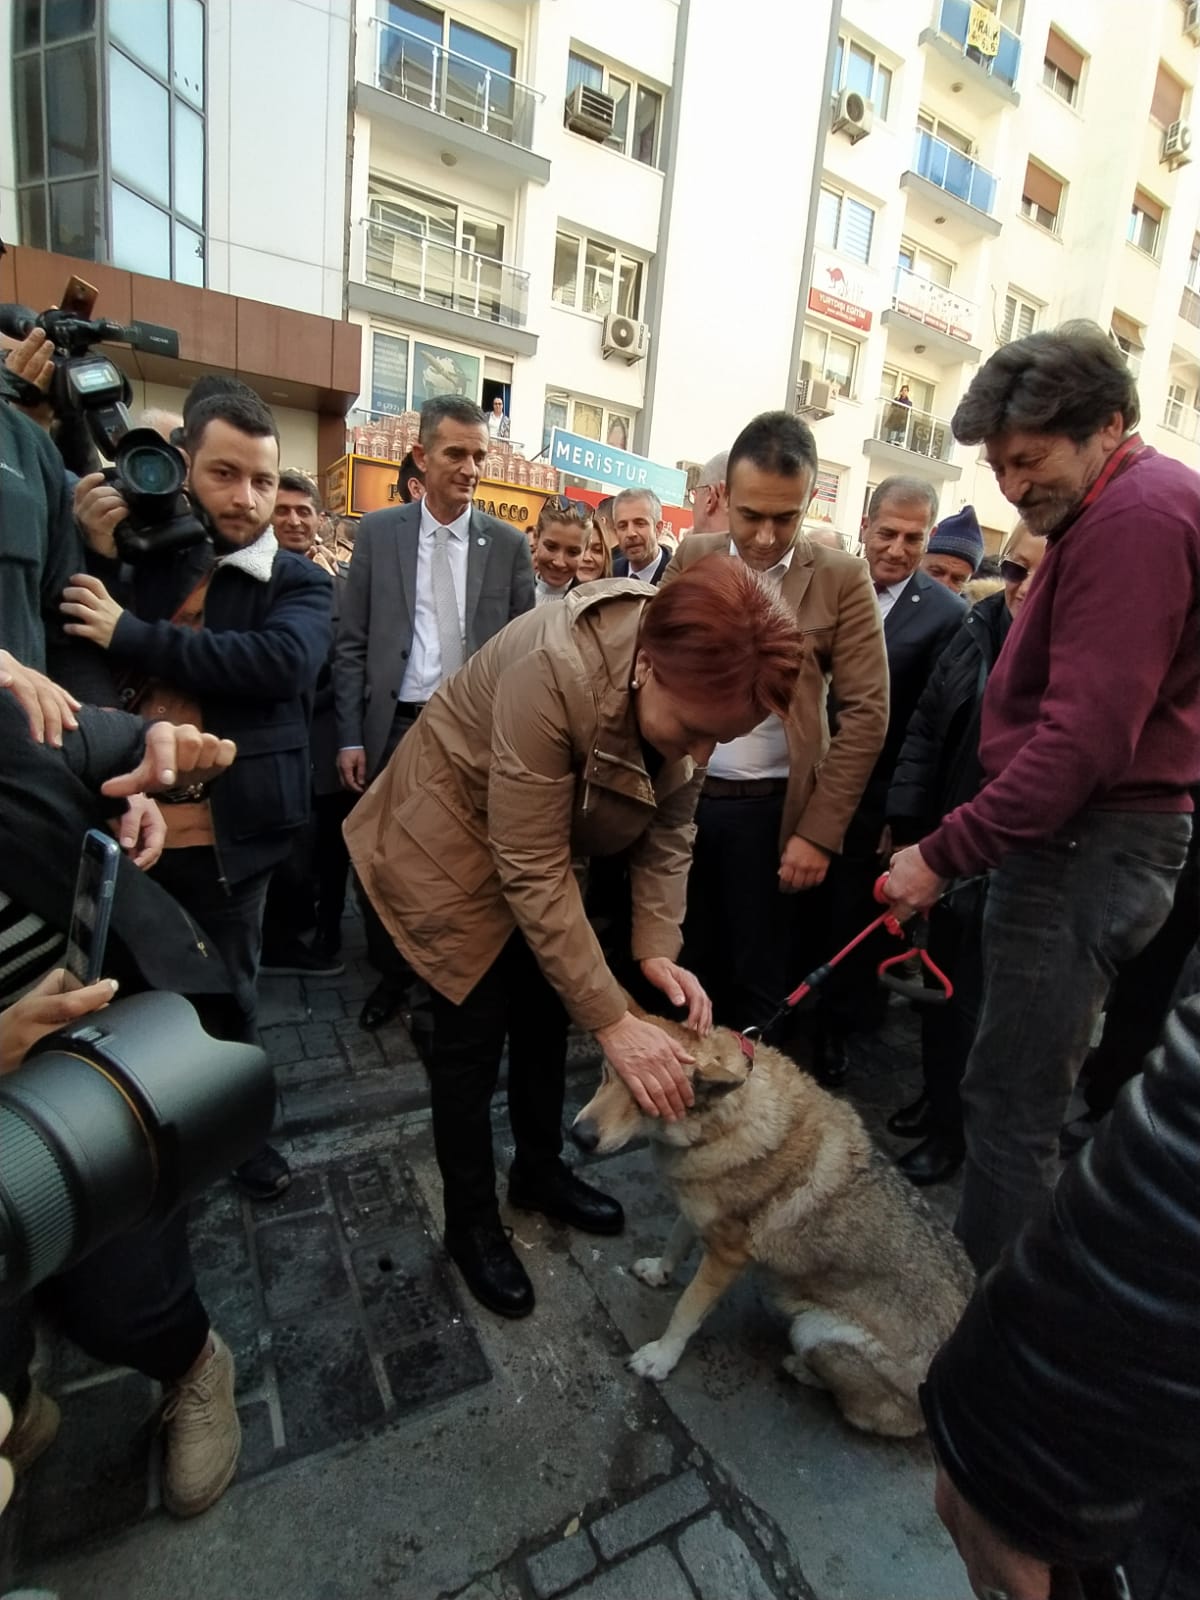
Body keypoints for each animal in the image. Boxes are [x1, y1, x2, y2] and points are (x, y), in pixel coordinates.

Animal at [572, 1011, 979, 1440]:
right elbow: (677, 1240)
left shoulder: (728, 1256)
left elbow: (686, 1310)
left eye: (647, 1100)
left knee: (869, 1415)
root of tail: (935, 1402)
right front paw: (658, 1272)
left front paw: (661, 1359)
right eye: (605, 1074)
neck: (723, 1120)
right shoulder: (700, 1211)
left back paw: (804, 1369)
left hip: (813, 1330)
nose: (578, 1136)